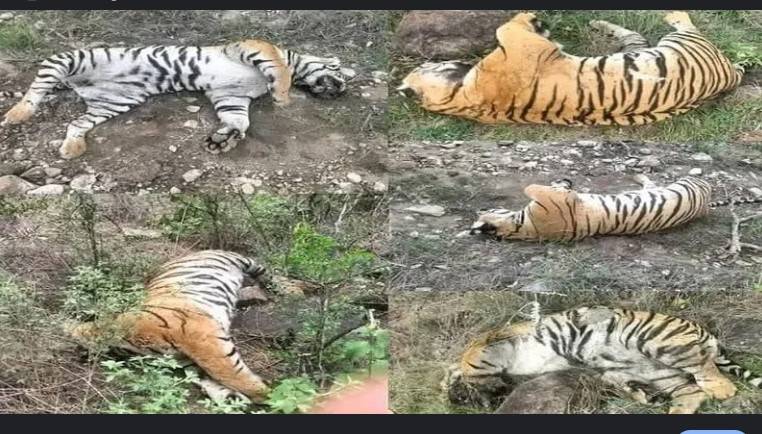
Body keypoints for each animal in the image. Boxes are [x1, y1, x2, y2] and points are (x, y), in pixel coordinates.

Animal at [1, 39, 356, 159]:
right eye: (337, 70)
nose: (340, 89)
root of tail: (79, 86)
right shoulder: (251, 47)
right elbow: (277, 67)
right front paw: (282, 95)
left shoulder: (231, 96)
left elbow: (238, 120)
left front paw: (224, 139)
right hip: (74, 59)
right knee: (41, 79)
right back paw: (17, 114)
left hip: (114, 102)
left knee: (76, 123)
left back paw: (72, 148)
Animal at [68, 250, 272, 402]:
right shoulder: (188, 358)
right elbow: (209, 378)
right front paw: (231, 398)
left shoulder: (202, 339)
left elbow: (229, 372)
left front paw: (266, 395)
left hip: (240, 261)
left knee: (263, 270)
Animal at [397, 11, 743, 126]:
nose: (436, 61)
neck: (459, 97)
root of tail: (729, 74)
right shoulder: (523, 47)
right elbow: (505, 28)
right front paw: (531, 18)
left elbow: (507, 29)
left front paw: (539, 22)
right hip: (682, 41)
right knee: (682, 20)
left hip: (644, 48)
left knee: (633, 35)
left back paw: (598, 22)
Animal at [444, 305, 762, 414]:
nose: (454, 399)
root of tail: (704, 331)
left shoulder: (501, 337)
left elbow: (473, 354)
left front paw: (464, 374)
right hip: (658, 373)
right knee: (692, 392)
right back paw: (659, 404)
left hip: (656, 341)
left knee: (702, 366)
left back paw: (723, 390)